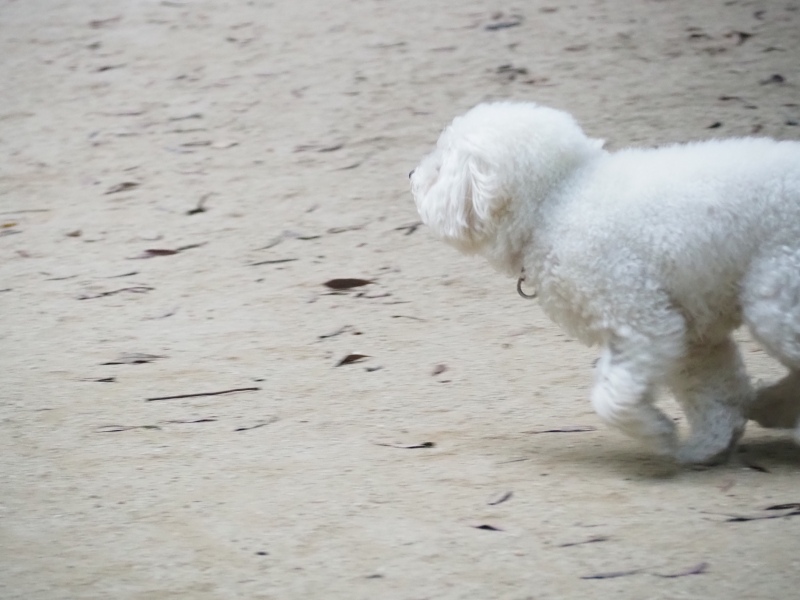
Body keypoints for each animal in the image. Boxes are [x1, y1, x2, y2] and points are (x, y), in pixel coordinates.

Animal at [412, 102, 800, 464]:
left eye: (441, 166)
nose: (412, 174)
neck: (558, 199)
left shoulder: (644, 324)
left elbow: (610, 397)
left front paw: (657, 432)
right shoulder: (693, 337)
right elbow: (713, 391)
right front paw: (707, 446)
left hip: (774, 300)